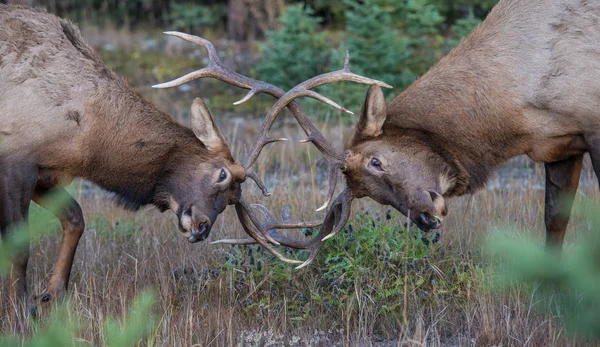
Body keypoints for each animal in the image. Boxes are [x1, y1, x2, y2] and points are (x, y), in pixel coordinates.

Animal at [0, 4, 386, 320]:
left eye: (232, 200)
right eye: (221, 174)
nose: (201, 228)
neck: (86, 138)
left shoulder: (47, 175)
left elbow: (75, 219)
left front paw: (50, 296)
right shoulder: (17, 162)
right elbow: (20, 250)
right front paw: (19, 315)